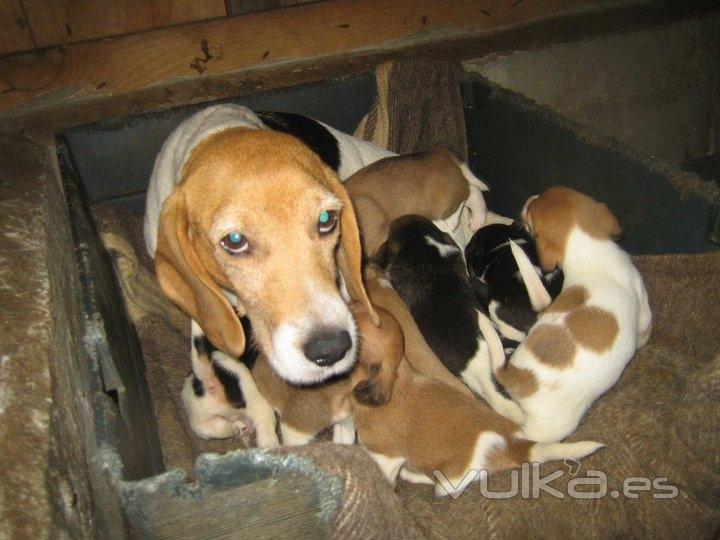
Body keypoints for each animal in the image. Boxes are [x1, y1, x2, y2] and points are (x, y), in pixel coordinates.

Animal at [344, 147, 490, 256]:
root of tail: (440, 152)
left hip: (443, 202)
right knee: (473, 192)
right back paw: (477, 221)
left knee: (464, 195)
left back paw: (452, 222)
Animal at [348, 304, 600, 498]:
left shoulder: (386, 456)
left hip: (449, 482)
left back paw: (413, 474)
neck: (399, 378)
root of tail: (518, 445)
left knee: (435, 481)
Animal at [480, 188, 656, 440]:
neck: (590, 249)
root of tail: (519, 376)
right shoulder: (642, 302)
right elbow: (644, 329)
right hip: (551, 427)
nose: (528, 199)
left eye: (531, 209)